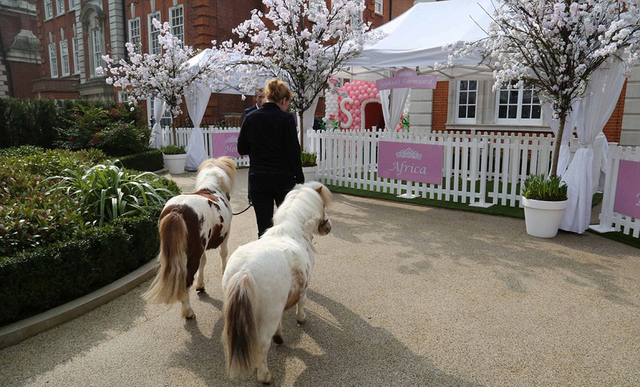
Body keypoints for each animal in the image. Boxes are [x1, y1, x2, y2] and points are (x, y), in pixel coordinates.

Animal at [144, 156, 236, 320]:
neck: (211, 189)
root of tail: (177, 210)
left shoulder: (202, 247)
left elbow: (204, 261)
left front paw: (201, 284)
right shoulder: (225, 235)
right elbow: (223, 253)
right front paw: (224, 271)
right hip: (193, 254)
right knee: (186, 280)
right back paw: (188, 311)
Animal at [221, 182, 332, 384]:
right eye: (323, 207)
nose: (328, 226)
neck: (292, 231)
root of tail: (244, 271)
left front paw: (279, 335)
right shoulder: (303, 288)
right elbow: (302, 303)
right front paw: (301, 319)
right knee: (262, 346)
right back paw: (265, 376)